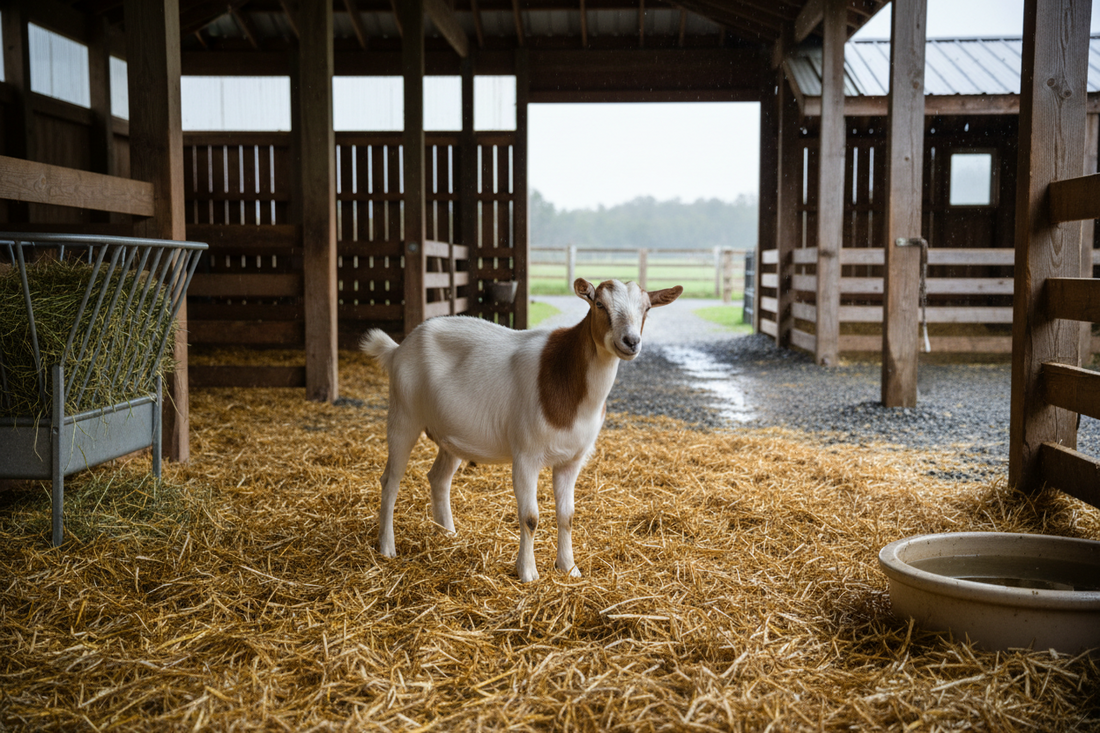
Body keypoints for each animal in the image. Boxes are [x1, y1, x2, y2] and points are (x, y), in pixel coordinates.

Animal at [360, 278, 682, 582]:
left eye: (647, 308)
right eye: (599, 304)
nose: (631, 341)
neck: (567, 378)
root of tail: (398, 349)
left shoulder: (571, 461)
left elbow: (567, 516)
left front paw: (569, 568)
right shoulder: (526, 456)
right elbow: (530, 517)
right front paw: (527, 573)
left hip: (451, 435)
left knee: (438, 478)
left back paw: (447, 534)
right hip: (403, 414)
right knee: (390, 480)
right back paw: (387, 547)